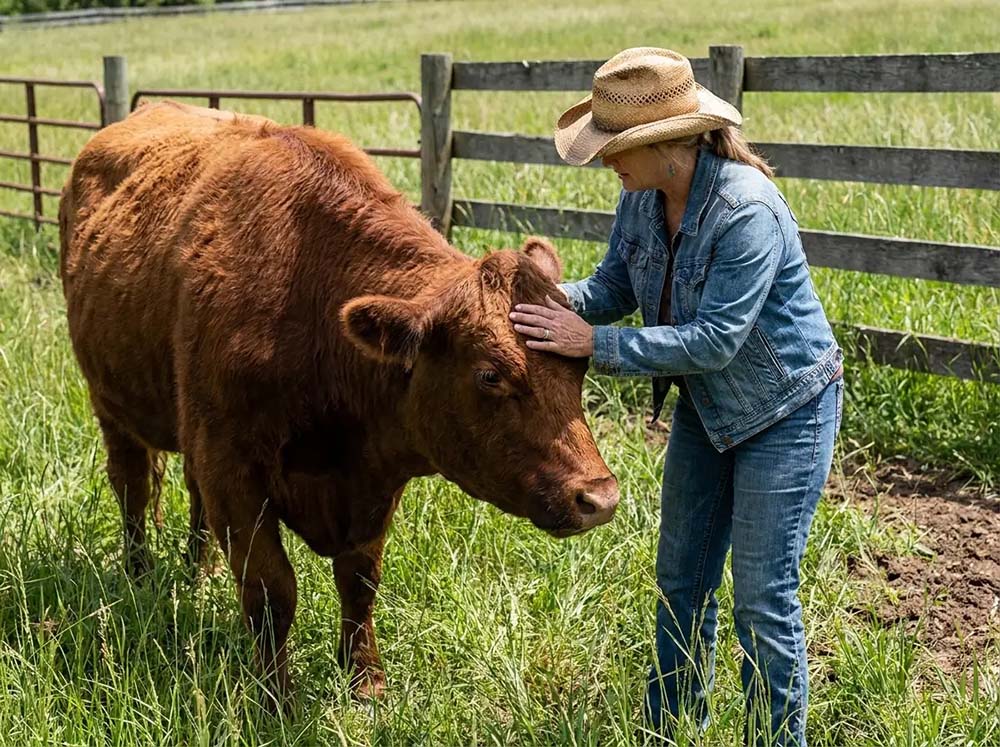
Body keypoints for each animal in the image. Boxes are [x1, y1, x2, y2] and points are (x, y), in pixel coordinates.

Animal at [58, 101, 619, 703]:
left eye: (580, 363)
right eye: (490, 375)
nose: (600, 498)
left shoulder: (371, 482)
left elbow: (360, 579)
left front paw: (365, 680)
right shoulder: (232, 465)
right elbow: (271, 590)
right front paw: (275, 698)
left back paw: (198, 573)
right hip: (111, 404)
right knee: (133, 487)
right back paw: (139, 575)